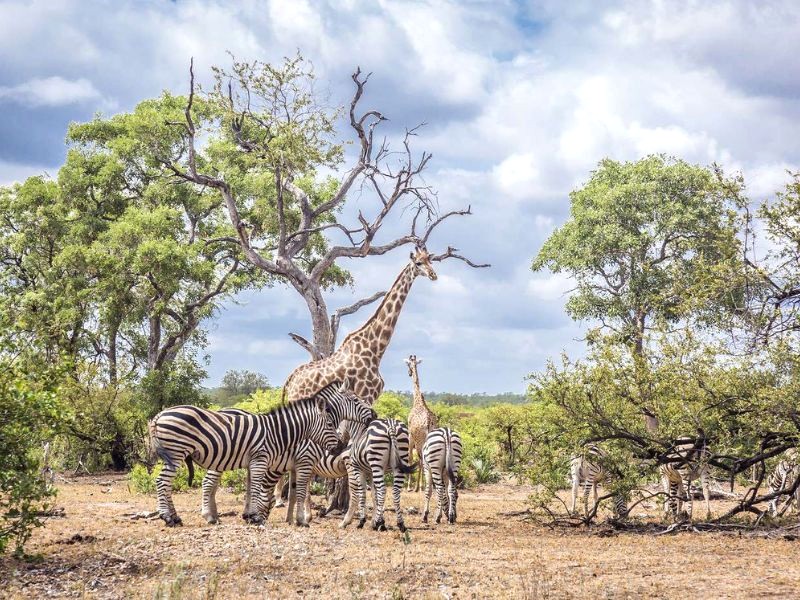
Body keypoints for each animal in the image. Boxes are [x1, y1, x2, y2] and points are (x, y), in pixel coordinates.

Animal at [148, 380, 374, 524]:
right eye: (356, 400)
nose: (374, 414)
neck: (283, 431)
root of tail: (160, 414)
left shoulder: (288, 464)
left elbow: (290, 492)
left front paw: (288, 519)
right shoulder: (300, 461)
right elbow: (294, 491)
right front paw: (298, 519)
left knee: (179, 483)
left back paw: (191, 516)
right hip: (181, 453)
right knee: (170, 482)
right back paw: (177, 517)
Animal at [284, 244, 438, 404]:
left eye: (430, 260)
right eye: (418, 263)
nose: (433, 275)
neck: (376, 350)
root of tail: (290, 381)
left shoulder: (371, 397)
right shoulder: (365, 395)